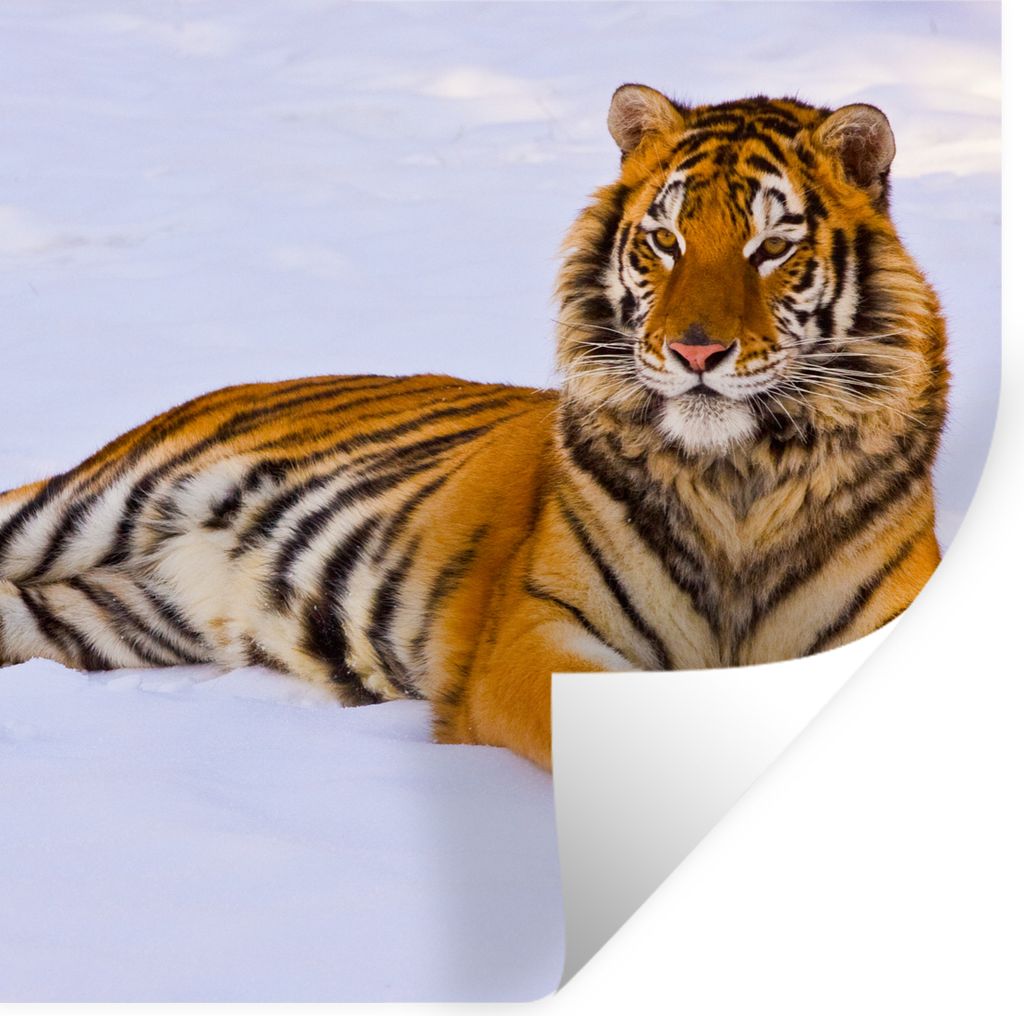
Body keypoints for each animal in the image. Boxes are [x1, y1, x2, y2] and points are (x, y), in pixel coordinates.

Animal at [0, 86, 948, 771]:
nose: (696, 350)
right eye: (665, 241)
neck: (738, 477)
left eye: (770, 248)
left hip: (107, 614)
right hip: (92, 502)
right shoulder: (540, 632)